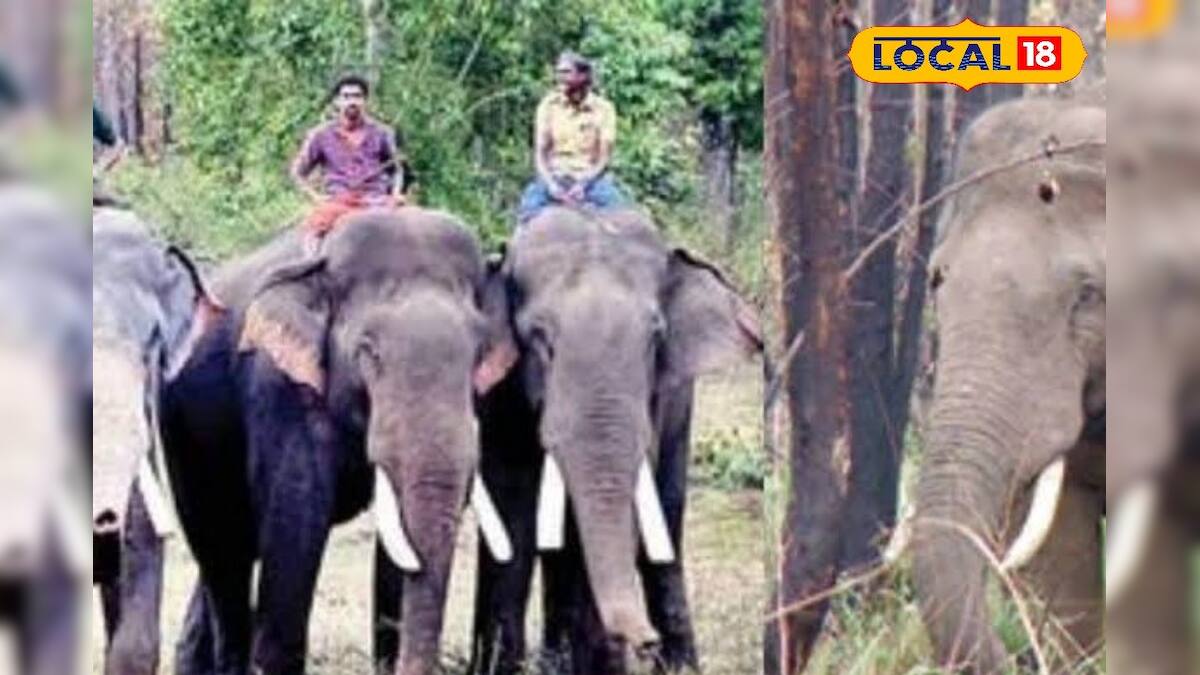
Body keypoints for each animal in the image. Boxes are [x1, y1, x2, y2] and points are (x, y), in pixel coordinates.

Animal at [470, 208, 762, 674]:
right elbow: (511, 504)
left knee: (667, 510)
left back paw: (678, 665)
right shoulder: (502, 393)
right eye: (540, 338)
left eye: (655, 339)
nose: (645, 641)